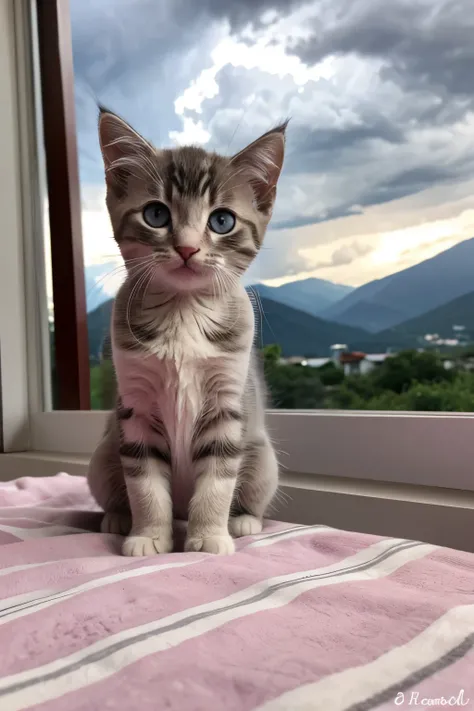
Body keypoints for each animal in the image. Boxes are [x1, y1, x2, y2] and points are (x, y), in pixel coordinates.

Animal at [87, 110, 286, 556]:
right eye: (156, 215)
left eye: (222, 220)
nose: (188, 248)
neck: (183, 313)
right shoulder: (136, 407)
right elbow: (144, 482)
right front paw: (148, 535)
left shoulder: (227, 403)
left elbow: (218, 477)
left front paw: (209, 535)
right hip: (102, 454)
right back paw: (118, 517)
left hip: (263, 455)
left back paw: (243, 521)